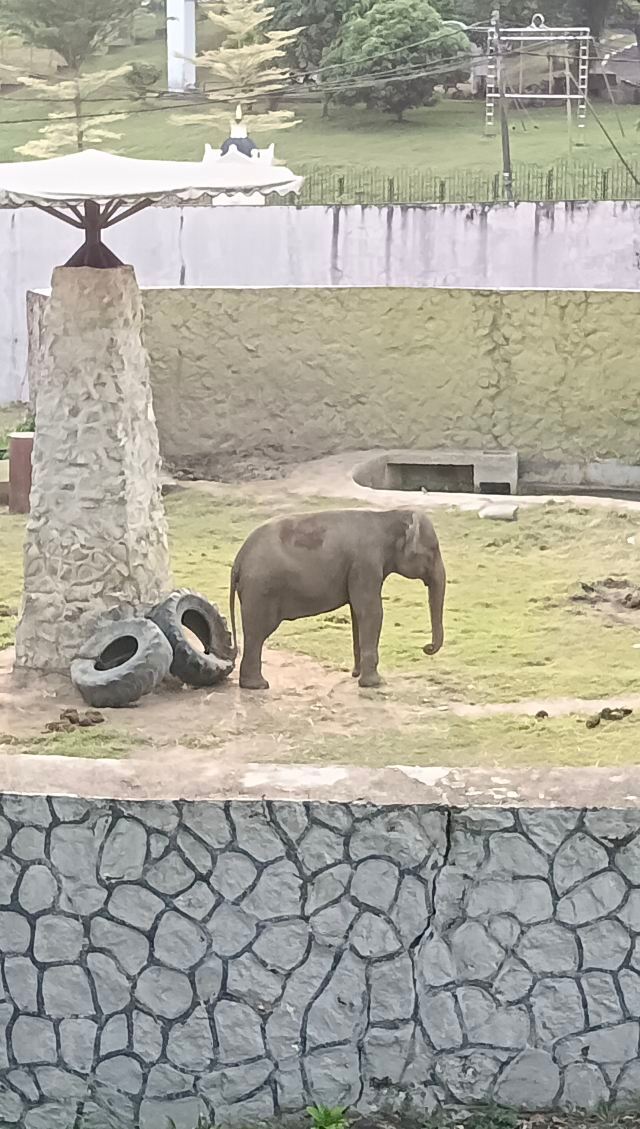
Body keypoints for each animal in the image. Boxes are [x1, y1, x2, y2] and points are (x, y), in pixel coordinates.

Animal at [229, 508, 446, 690]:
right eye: (433, 550)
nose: (427, 647)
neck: (388, 516)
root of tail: (238, 560)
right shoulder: (365, 563)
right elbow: (371, 612)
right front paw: (375, 683)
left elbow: (358, 613)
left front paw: (357, 675)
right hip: (261, 589)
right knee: (258, 632)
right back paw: (258, 685)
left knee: (254, 633)